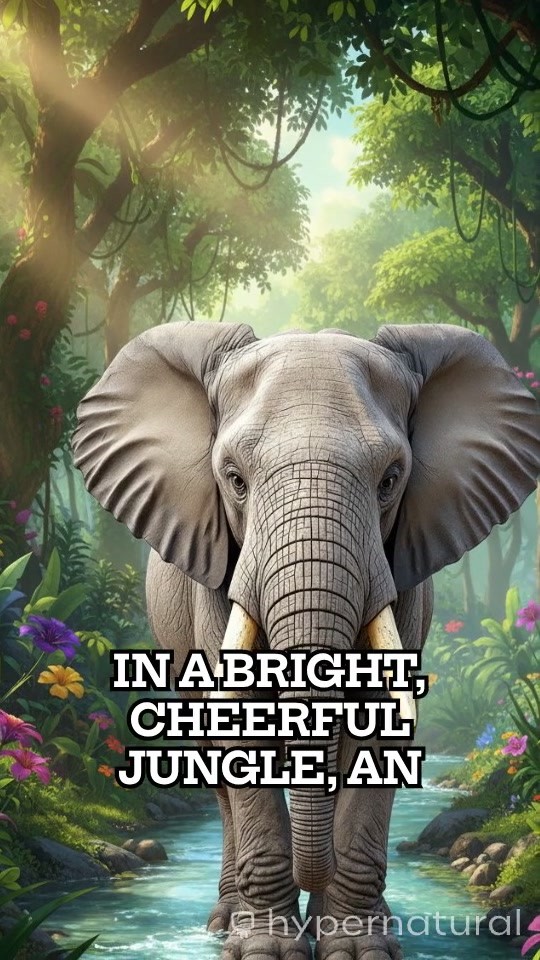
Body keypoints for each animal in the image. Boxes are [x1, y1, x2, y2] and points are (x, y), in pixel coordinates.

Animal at [72, 321, 539, 960]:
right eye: (234, 480)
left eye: (391, 480)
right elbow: (238, 725)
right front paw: (267, 950)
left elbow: (379, 722)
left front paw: (358, 948)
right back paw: (225, 922)